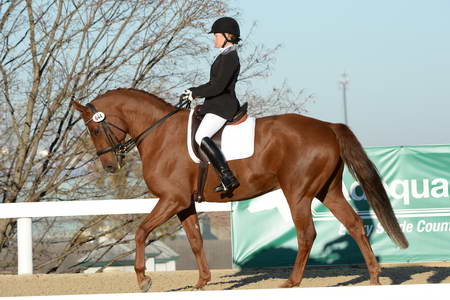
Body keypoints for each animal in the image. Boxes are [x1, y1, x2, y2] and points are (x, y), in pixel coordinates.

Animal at [71, 88, 408, 292]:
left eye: (94, 128)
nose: (110, 167)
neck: (160, 133)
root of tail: (328, 127)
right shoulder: (183, 203)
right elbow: (195, 241)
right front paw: (202, 282)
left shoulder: (171, 199)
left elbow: (141, 231)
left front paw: (143, 279)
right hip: (328, 191)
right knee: (354, 224)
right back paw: (374, 278)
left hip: (297, 193)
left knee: (307, 234)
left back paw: (291, 282)